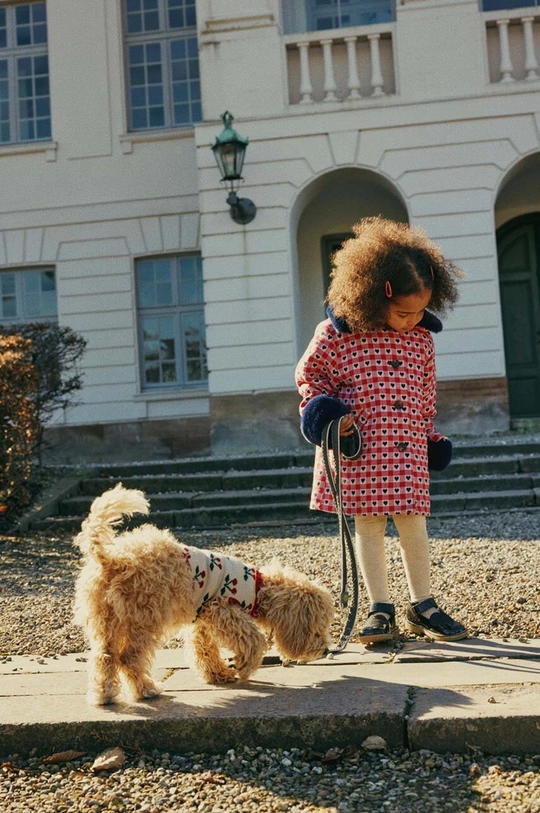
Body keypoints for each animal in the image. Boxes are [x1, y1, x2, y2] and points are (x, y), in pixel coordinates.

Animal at [74, 482, 336, 704]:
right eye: (317, 626)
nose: (325, 649)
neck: (257, 587)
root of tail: (113, 560)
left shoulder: (201, 620)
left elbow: (204, 650)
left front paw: (218, 674)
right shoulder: (224, 610)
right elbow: (253, 639)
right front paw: (245, 667)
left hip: (106, 622)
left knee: (104, 656)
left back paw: (104, 695)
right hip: (143, 619)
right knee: (128, 657)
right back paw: (146, 690)